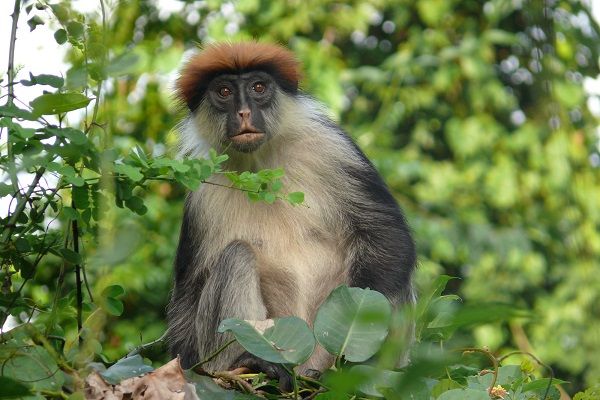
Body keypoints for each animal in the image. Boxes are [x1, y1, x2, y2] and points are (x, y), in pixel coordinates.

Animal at [166, 41, 414, 388]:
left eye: (258, 87)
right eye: (225, 91)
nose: (244, 112)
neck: (260, 167)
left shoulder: (333, 148)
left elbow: (388, 236)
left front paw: (356, 360)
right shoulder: (202, 193)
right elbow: (189, 295)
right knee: (237, 255)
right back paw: (252, 364)